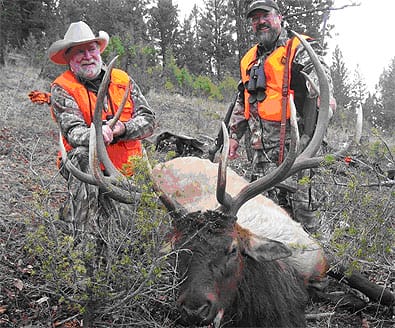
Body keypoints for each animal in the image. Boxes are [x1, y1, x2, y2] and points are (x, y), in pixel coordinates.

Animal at [60, 32, 394, 326]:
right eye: (177, 251)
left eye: (232, 248)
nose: (194, 309)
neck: (289, 282)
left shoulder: (318, 253)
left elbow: (372, 289)